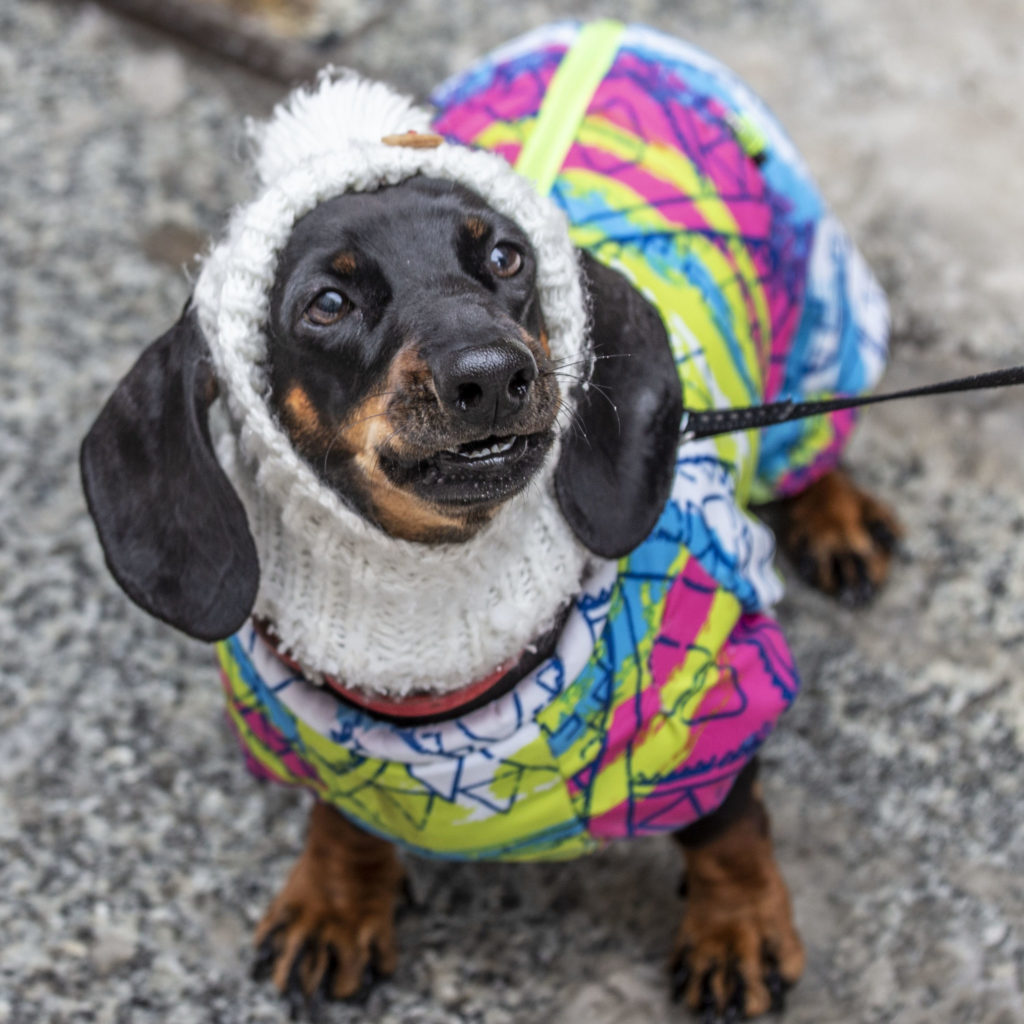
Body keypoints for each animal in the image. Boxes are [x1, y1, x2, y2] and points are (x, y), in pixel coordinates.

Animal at [80, 21, 902, 1020]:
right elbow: (338, 814)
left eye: (507, 257)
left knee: (812, 434)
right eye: (328, 303)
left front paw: (736, 928)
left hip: (817, 311)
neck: (441, 658)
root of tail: (614, 29)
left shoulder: (716, 691)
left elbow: (729, 825)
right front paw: (334, 899)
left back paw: (836, 514)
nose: (493, 374)